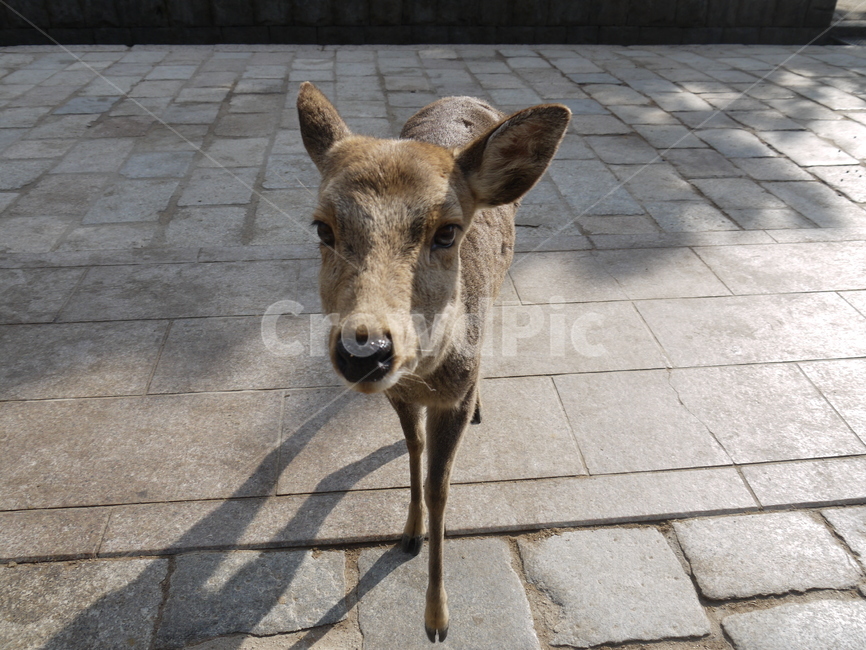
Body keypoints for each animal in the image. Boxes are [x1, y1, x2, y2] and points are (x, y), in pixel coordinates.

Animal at [297, 81, 570, 642]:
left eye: (447, 232)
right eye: (322, 229)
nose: (365, 350)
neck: (426, 380)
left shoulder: (451, 400)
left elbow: (441, 486)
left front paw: (438, 619)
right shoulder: (400, 396)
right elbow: (414, 452)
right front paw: (408, 533)